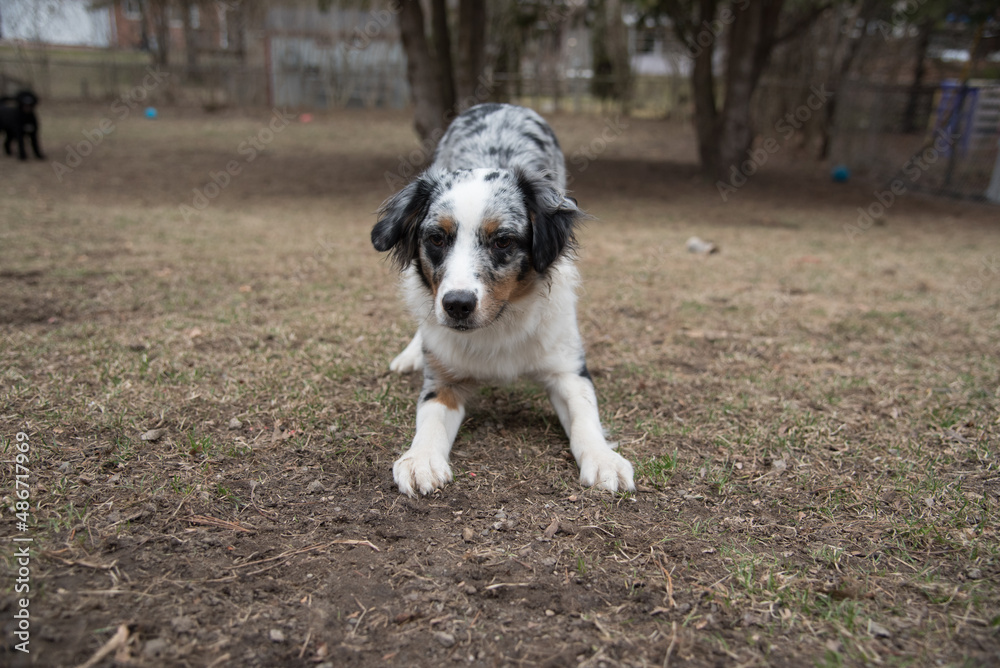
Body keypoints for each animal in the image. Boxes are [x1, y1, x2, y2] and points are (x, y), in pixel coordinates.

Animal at [372, 100, 636, 496]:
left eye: (503, 241)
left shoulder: (570, 370)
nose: (457, 305)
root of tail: (500, 104)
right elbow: (429, 417)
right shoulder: (443, 379)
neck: (499, 323)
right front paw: (420, 459)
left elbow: (585, 417)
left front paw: (604, 459)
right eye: (436, 238)